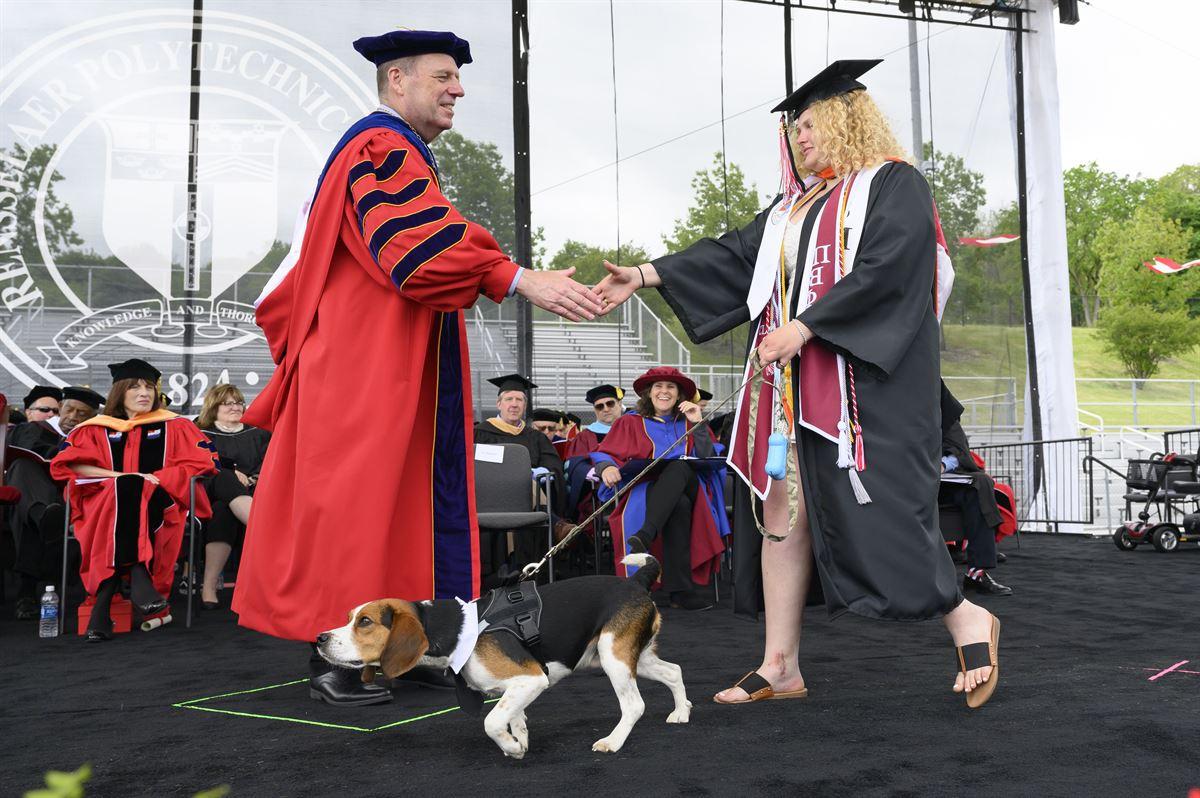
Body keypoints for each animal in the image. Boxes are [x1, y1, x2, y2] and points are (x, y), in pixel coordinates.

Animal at [316, 554, 696, 758]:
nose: (320, 638)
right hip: (630, 656)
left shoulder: (532, 679)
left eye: (365, 622)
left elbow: (492, 720)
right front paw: (519, 739)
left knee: (634, 705)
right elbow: (513, 716)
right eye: (349, 617)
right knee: (675, 671)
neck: (454, 630)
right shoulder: (518, 687)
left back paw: (612, 742)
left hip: (612, 655)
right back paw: (680, 713)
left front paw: (512, 747)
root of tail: (637, 582)